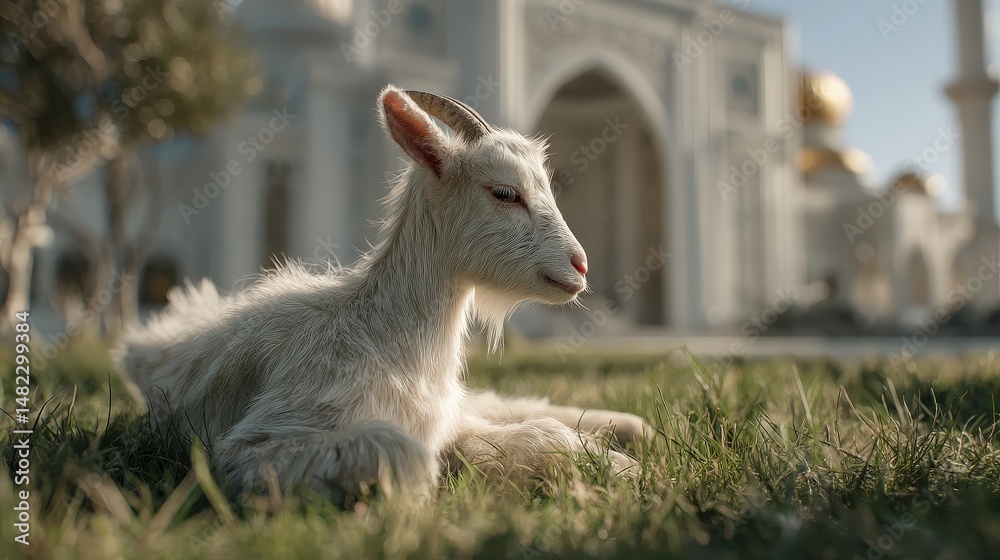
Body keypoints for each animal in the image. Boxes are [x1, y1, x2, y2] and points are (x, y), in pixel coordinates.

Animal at [118, 85, 652, 500]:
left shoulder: (445, 417)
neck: (377, 329)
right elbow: (412, 452)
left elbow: (539, 435)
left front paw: (628, 468)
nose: (580, 266)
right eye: (504, 193)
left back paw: (633, 425)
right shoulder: (258, 441)